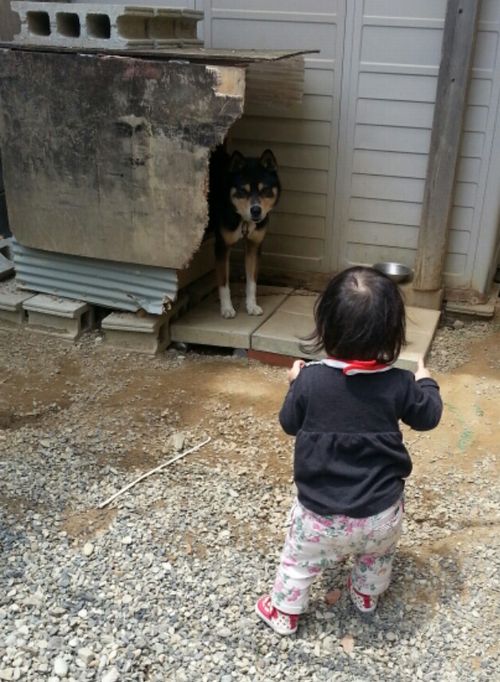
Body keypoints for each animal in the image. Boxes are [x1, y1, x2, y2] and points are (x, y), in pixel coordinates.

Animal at [208, 146, 282, 316]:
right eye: (243, 191)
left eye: (265, 190)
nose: (256, 210)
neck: (244, 220)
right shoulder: (222, 246)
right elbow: (223, 283)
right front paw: (227, 308)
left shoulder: (254, 246)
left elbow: (252, 281)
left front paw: (251, 305)